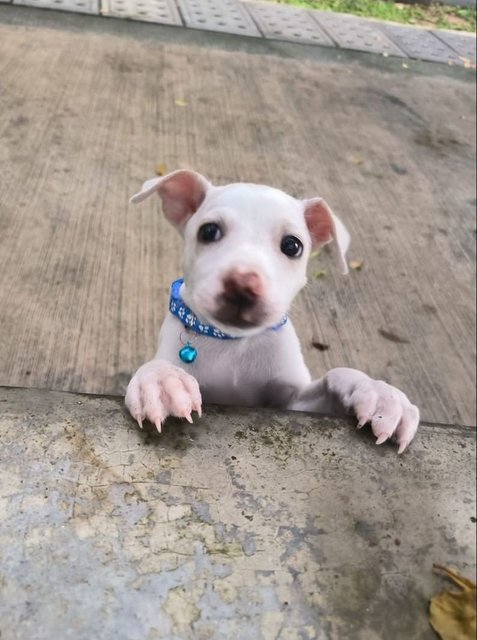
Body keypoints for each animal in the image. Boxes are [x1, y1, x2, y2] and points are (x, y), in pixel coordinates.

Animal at [124, 168, 418, 452]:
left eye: (292, 245)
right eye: (208, 231)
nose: (243, 286)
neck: (234, 343)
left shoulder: (292, 403)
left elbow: (335, 374)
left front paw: (379, 392)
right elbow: (157, 365)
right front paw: (161, 379)